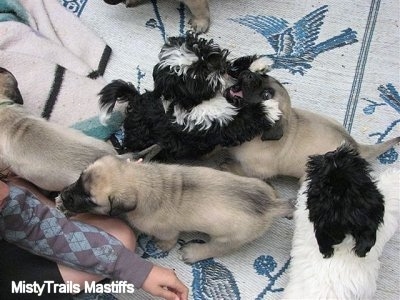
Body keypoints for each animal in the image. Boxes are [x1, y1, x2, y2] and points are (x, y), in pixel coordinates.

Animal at [59, 155, 292, 262]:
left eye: (89, 200)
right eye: (79, 177)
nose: (63, 194)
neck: (143, 181)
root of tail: (271, 206)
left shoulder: (166, 231)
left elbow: (168, 239)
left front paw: (162, 246)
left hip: (228, 239)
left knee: (215, 248)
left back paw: (193, 252)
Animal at [99, 31, 282, 161]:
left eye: (207, 54)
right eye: (199, 75)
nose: (220, 68)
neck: (196, 102)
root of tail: (135, 99)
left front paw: (256, 64)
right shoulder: (213, 128)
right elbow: (240, 120)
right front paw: (267, 108)